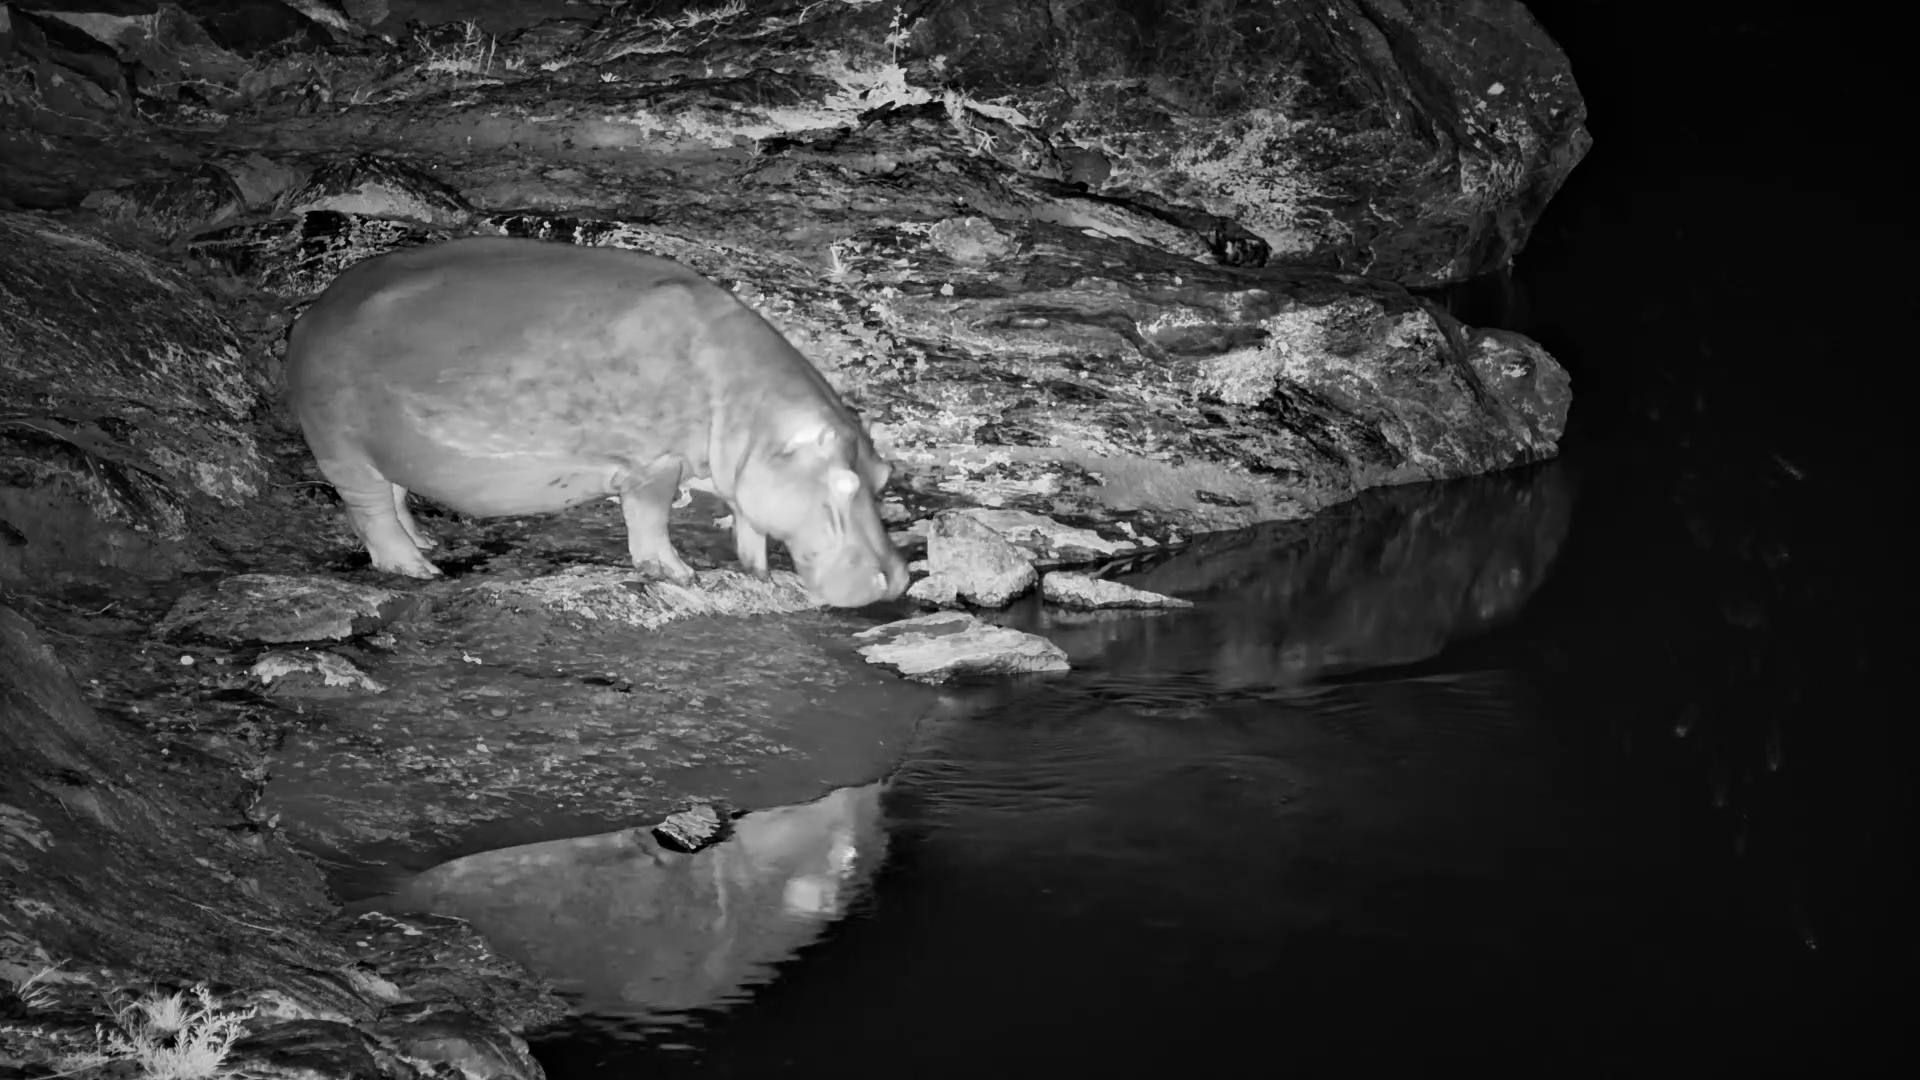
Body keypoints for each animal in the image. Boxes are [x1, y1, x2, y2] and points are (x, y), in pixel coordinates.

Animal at [284, 236, 910, 608]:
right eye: (841, 484)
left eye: (882, 477)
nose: (900, 578)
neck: (750, 404)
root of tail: (318, 307)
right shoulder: (654, 462)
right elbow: (650, 518)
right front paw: (679, 575)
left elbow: (746, 521)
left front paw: (754, 571)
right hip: (341, 446)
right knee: (370, 512)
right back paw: (418, 571)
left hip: (381, 451)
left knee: (394, 497)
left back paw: (427, 540)